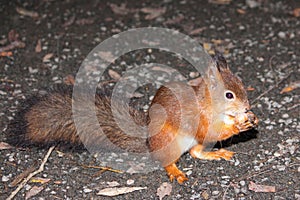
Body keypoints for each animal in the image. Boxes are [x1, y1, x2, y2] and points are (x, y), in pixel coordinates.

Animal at [21, 52, 256, 183]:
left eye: (242, 85)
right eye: (229, 95)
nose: (247, 107)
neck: (208, 104)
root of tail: (149, 142)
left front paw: (248, 119)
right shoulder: (198, 118)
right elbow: (211, 130)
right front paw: (239, 126)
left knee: (196, 152)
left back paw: (217, 153)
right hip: (170, 143)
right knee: (169, 161)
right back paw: (176, 172)